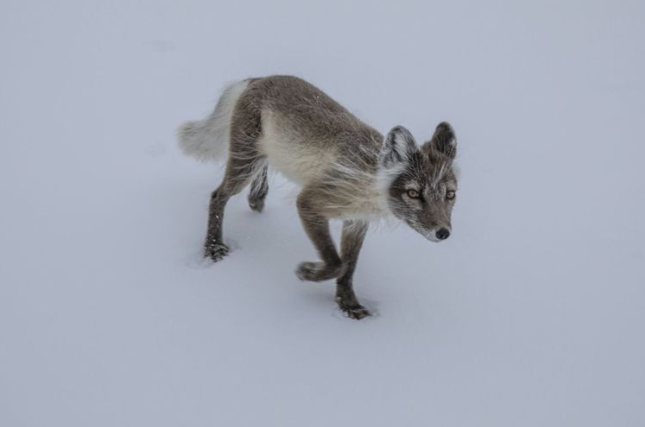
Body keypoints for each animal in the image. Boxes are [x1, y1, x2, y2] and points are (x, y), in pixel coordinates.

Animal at [177, 76, 458, 318]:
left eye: (450, 194)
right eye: (413, 193)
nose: (443, 233)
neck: (368, 183)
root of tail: (258, 78)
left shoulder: (356, 222)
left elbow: (349, 267)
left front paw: (348, 305)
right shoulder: (309, 203)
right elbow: (336, 263)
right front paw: (307, 272)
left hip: (260, 157)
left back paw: (257, 198)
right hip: (244, 161)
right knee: (217, 196)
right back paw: (213, 247)